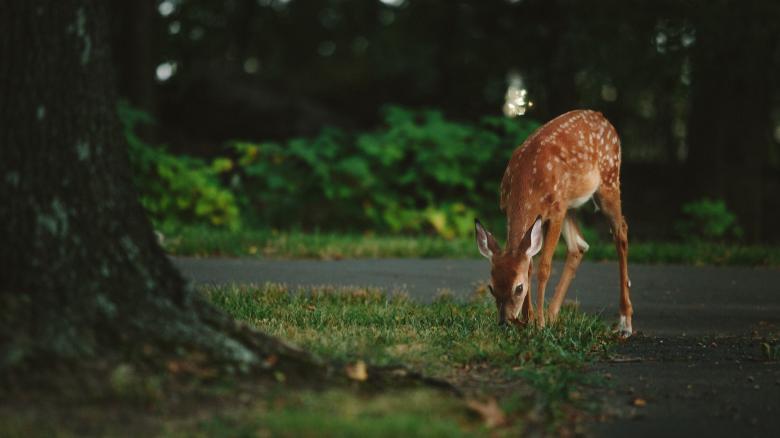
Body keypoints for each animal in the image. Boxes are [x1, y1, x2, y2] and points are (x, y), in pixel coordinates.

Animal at [475, 110, 633, 337]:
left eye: (518, 288)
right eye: (491, 287)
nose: (505, 322)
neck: (527, 182)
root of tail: (603, 118)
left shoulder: (556, 212)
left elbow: (543, 267)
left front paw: (538, 323)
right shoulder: (514, 210)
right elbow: (529, 263)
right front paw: (529, 319)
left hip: (608, 180)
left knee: (621, 231)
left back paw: (625, 322)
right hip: (570, 204)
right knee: (579, 246)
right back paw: (552, 315)